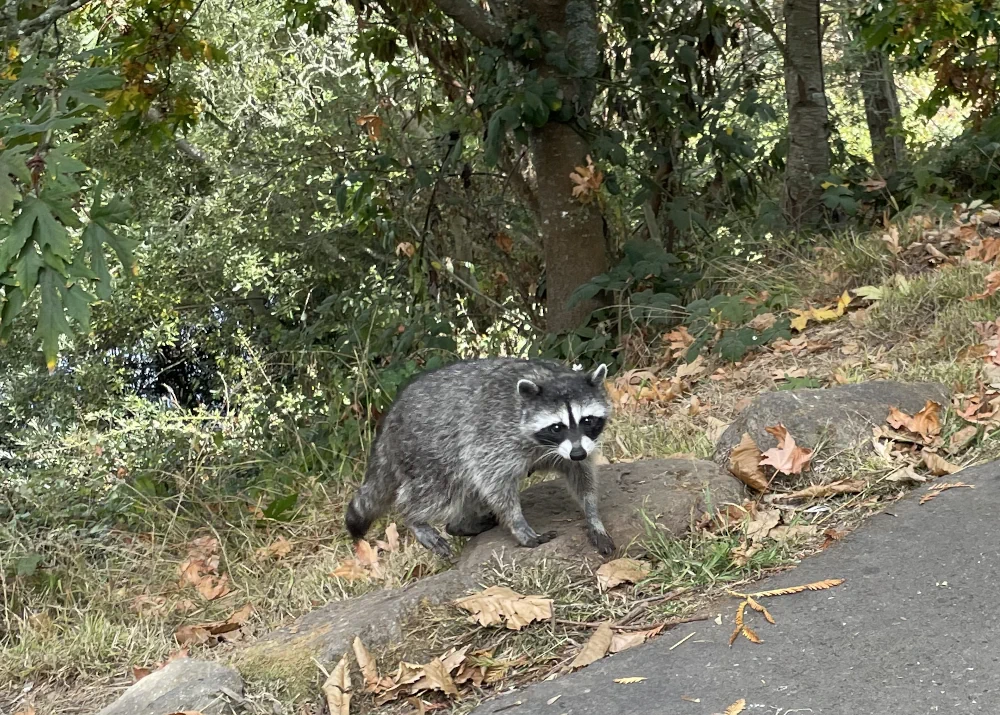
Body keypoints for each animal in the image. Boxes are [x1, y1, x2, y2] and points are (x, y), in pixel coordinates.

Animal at [352, 358, 616, 560]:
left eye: (587, 420)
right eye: (557, 427)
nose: (577, 453)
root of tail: (392, 416)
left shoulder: (578, 447)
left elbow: (582, 477)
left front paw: (593, 516)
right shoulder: (493, 435)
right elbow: (495, 483)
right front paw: (518, 524)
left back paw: (459, 525)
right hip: (430, 449)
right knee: (441, 489)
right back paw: (413, 517)